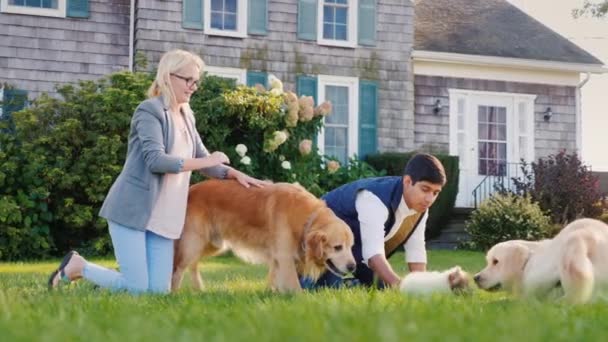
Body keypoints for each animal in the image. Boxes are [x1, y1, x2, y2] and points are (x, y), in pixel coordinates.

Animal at [172, 178, 356, 292]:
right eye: (337, 247)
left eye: (351, 247)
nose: (353, 266)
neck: (304, 217)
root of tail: (190, 189)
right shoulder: (284, 257)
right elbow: (295, 287)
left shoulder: (277, 258)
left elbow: (273, 278)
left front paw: (270, 294)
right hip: (194, 242)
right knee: (178, 268)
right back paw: (173, 294)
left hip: (213, 245)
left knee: (193, 264)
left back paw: (199, 290)